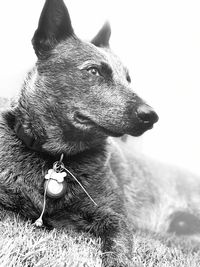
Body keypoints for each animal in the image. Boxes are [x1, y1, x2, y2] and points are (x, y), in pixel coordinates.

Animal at [0, 0, 200, 266]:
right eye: (94, 71)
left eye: (128, 79)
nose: (151, 116)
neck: (57, 159)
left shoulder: (114, 218)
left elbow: (117, 249)